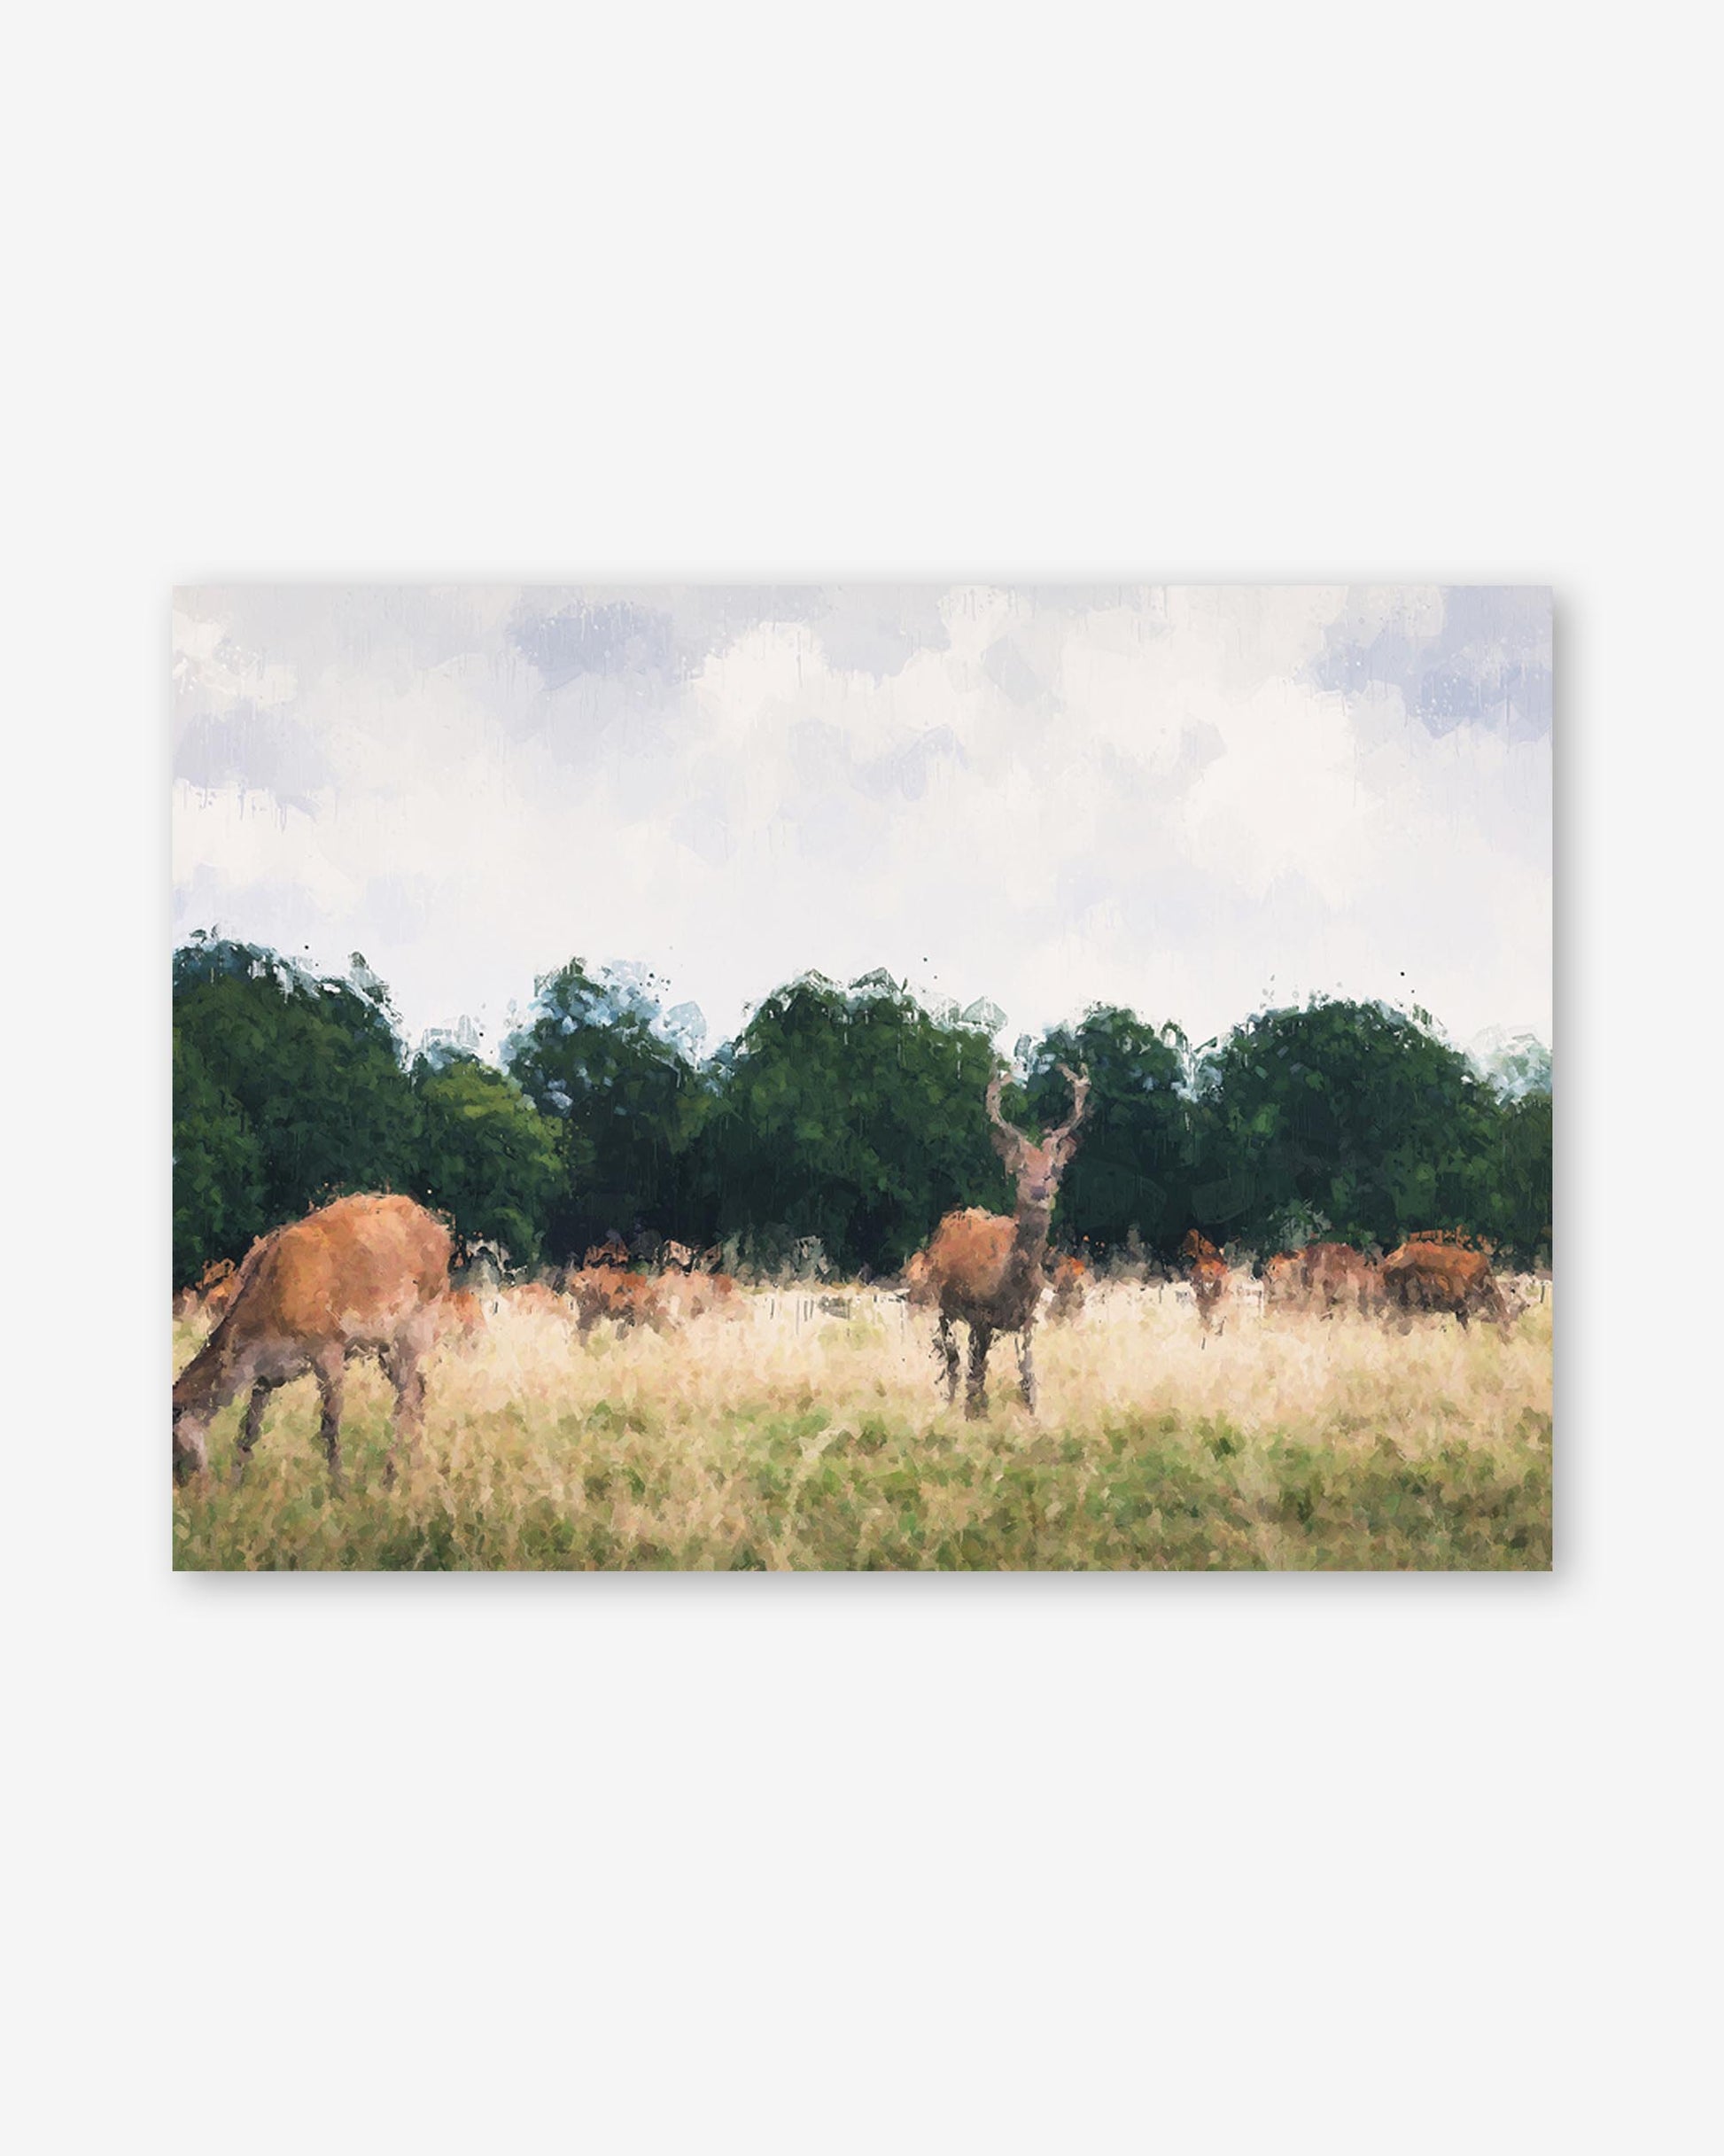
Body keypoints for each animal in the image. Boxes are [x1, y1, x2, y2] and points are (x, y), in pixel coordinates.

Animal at [171, 1193, 453, 1489]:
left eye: (173, 1450)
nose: (188, 1490)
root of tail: (441, 1230)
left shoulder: (329, 1347)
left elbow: (330, 1424)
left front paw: (339, 1488)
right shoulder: (266, 1375)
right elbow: (249, 1428)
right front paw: (236, 1484)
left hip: (416, 1325)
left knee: (406, 1397)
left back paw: (391, 1476)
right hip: (384, 1345)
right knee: (418, 1387)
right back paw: (415, 1467)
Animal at [921, 1063, 1090, 1417]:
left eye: (1054, 1170)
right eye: (1020, 1168)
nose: (1039, 1192)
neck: (1012, 1282)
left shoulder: (1027, 1318)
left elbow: (1027, 1376)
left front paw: (1031, 1414)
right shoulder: (980, 1314)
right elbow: (976, 1371)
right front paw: (973, 1415)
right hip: (941, 1301)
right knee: (954, 1360)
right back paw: (952, 1402)